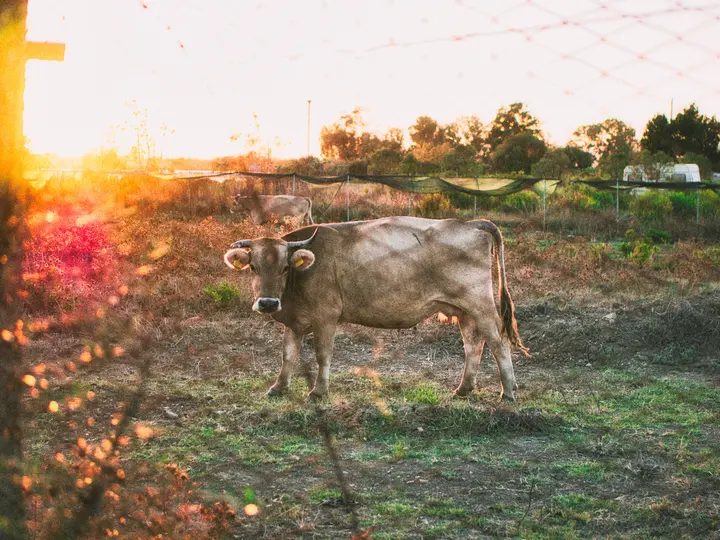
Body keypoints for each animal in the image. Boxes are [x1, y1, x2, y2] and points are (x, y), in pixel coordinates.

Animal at [223, 216, 529, 401]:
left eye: (285, 267)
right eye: (253, 267)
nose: (268, 302)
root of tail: (471, 223)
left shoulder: (326, 317)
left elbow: (322, 355)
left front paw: (319, 392)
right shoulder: (294, 322)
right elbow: (288, 356)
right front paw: (278, 388)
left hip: (481, 305)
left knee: (498, 342)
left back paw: (508, 392)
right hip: (464, 310)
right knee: (473, 345)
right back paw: (464, 389)